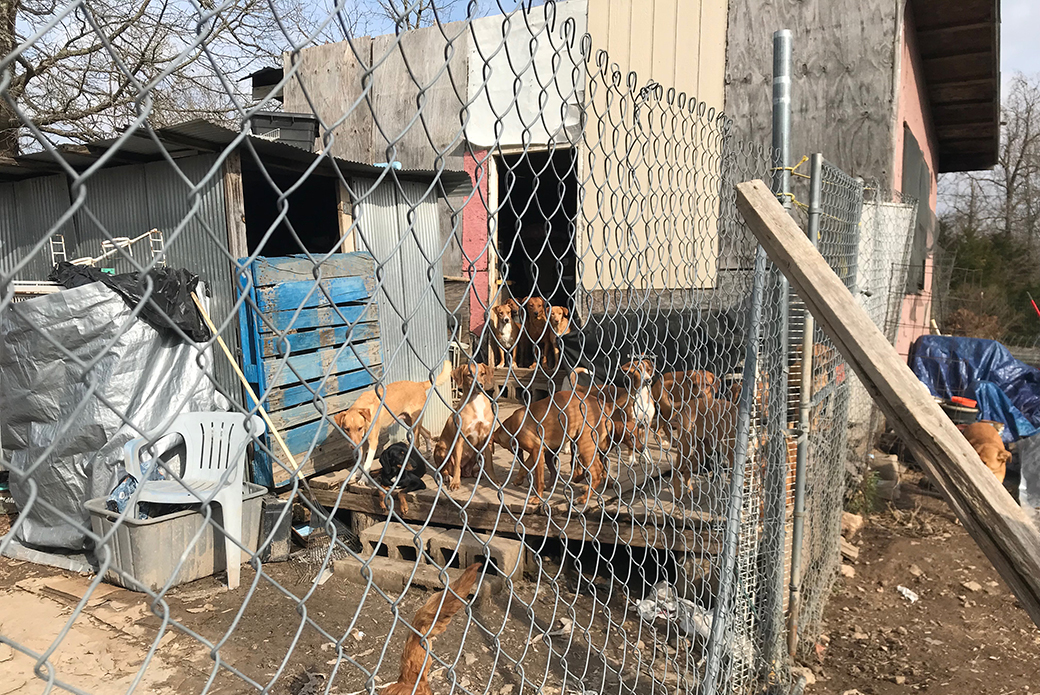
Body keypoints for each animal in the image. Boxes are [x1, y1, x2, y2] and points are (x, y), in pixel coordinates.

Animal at [434, 362, 499, 491]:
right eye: (469, 375)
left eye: (482, 373)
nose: (480, 385)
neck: (476, 401)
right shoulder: (460, 439)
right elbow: (457, 465)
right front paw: (455, 482)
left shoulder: (487, 438)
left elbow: (490, 464)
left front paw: (494, 480)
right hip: (441, 448)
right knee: (445, 469)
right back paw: (447, 477)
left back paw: (477, 473)